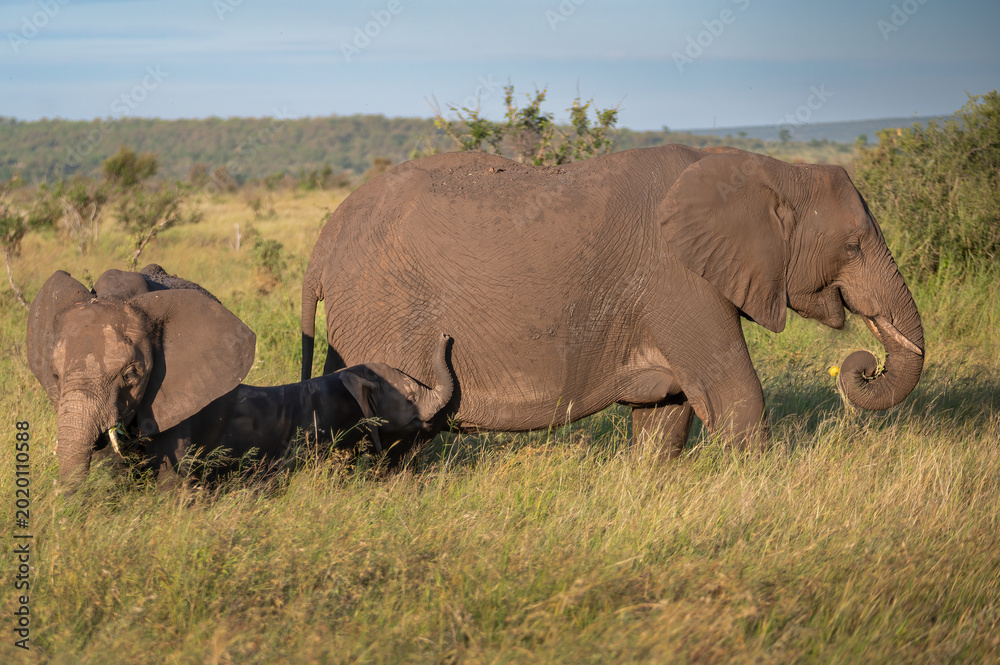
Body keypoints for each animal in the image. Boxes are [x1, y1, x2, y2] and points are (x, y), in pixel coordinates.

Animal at [301, 145, 924, 455]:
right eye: (854, 244)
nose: (861, 366)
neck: (770, 170)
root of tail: (326, 234)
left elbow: (665, 411)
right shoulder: (677, 280)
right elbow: (734, 397)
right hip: (382, 309)